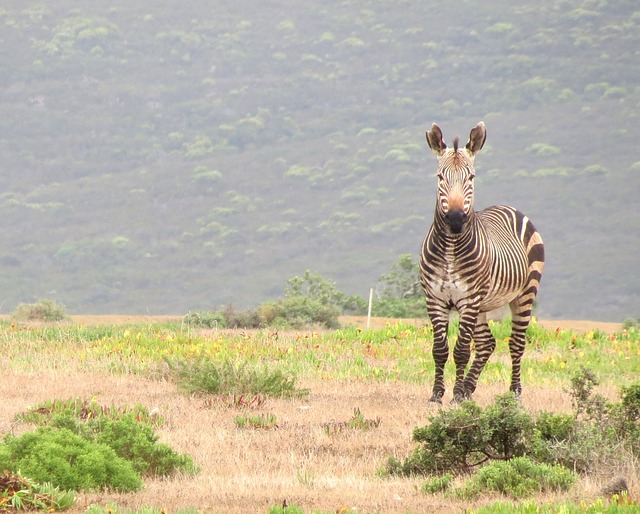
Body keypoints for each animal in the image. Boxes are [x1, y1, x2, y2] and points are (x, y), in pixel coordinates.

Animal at [420, 122, 544, 402]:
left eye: (471, 178)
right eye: (440, 177)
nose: (456, 219)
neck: (450, 250)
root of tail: (509, 207)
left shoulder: (468, 299)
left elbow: (462, 350)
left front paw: (455, 395)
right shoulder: (435, 299)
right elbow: (439, 349)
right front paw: (437, 395)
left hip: (523, 294)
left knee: (516, 343)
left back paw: (514, 392)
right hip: (483, 305)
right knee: (488, 343)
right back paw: (469, 388)